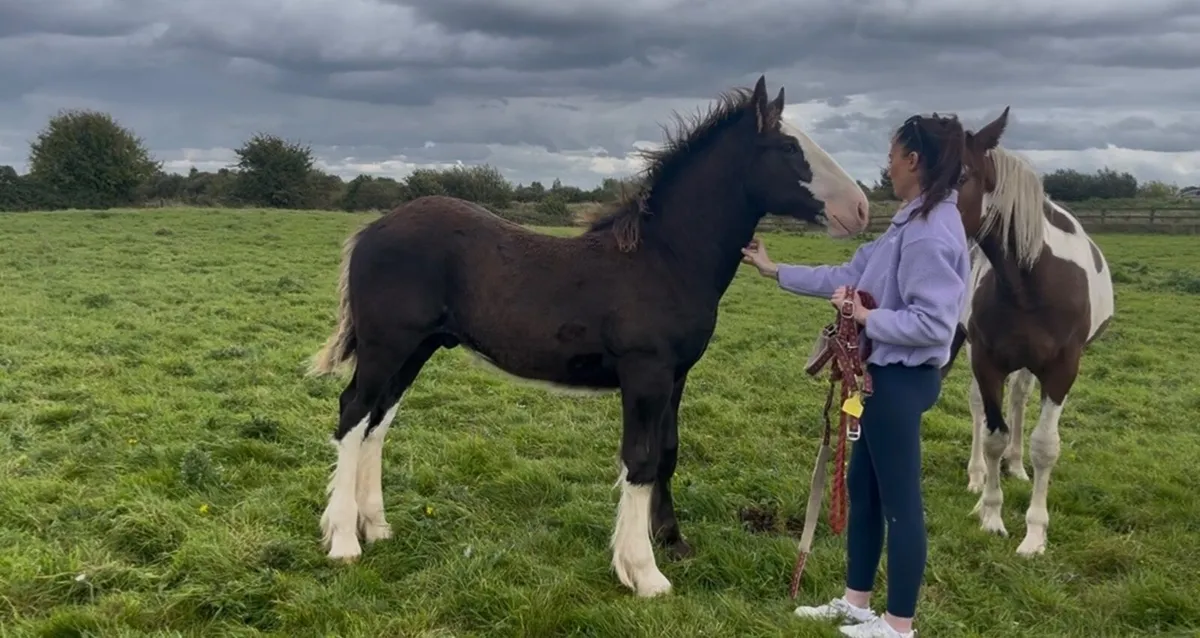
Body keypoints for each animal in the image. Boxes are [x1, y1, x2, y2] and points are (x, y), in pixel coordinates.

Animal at [303, 75, 872, 597]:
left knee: (378, 422)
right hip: (386, 346)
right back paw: (344, 541)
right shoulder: (646, 374)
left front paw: (672, 541)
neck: (665, 259)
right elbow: (639, 460)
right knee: (353, 413)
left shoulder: (676, 377)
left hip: (416, 349)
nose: (861, 209)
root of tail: (371, 230)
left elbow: (667, 452)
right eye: (788, 148)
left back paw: (376, 527)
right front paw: (643, 573)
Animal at [943, 106, 1114, 556]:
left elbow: (1045, 446)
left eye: (962, 175)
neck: (1030, 281)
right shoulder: (987, 360)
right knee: (979, 409)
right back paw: (977, 476)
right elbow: (992, 435)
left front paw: (1035, 534)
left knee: (1020, 399)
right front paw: (990, 515)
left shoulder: (1062, 369)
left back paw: (1017, 467)